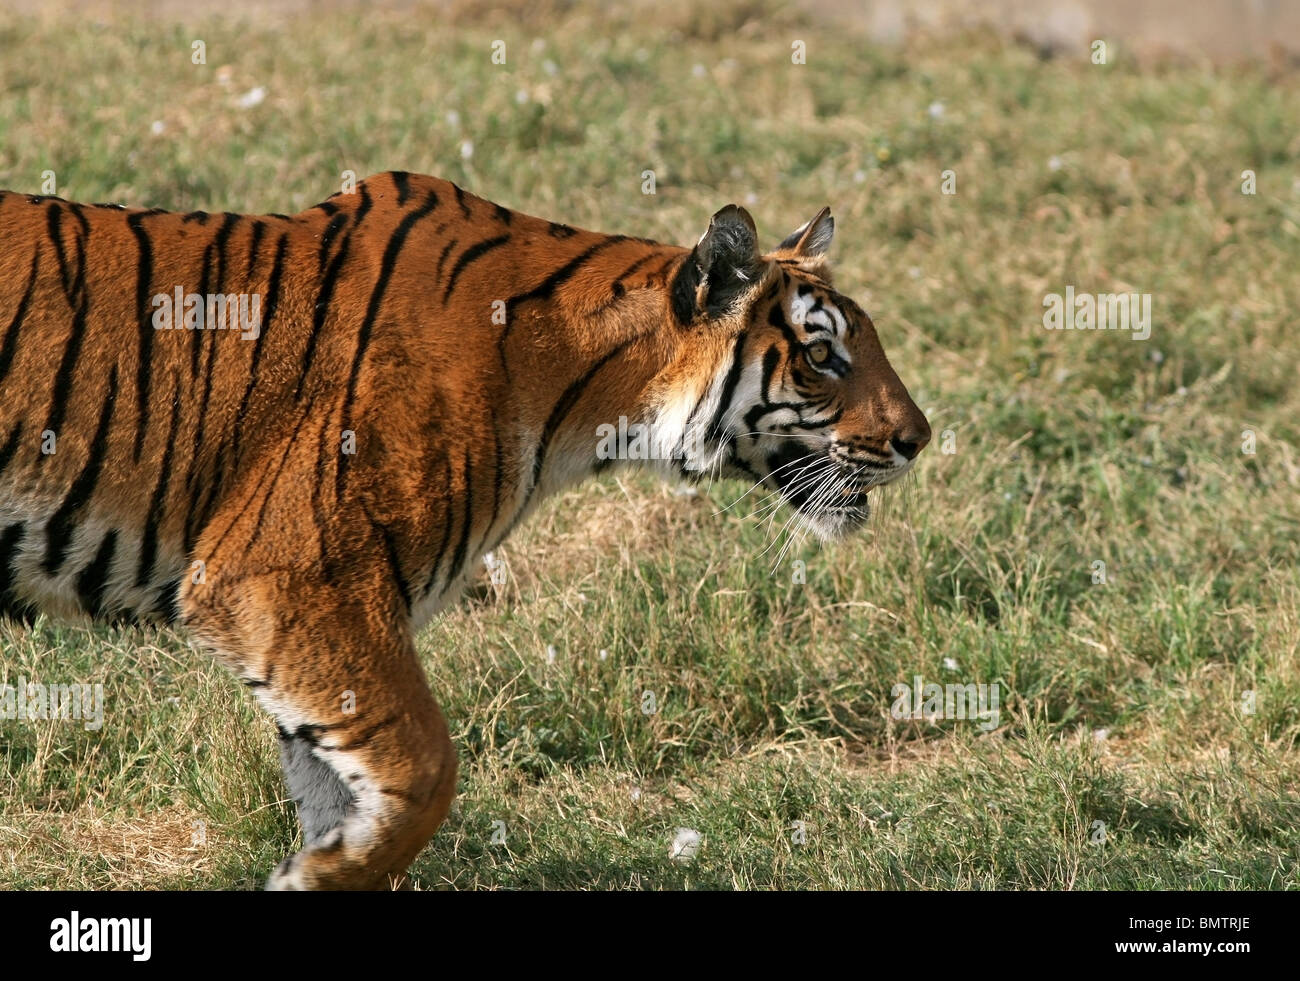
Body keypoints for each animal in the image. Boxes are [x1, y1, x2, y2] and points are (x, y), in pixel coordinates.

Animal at [0, 170, 935, 888]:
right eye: (822, 354)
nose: (920, 439)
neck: (587, 394)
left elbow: (339, 786)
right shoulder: (292, 576)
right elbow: (427, 769)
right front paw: (316, 874)